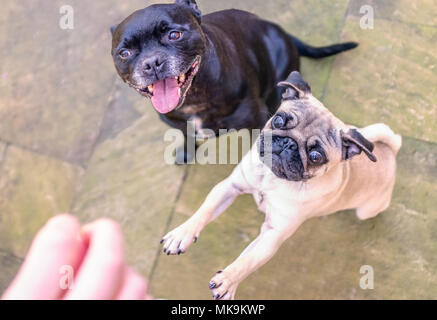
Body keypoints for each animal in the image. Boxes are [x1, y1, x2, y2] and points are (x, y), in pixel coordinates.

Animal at [110, 0, 358, 160]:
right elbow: (186, 135)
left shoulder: (258, 120)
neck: (194, 96)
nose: (152, 63)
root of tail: (286, 34)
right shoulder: (179, 124)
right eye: (124, 52)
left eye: (174, 34)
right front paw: (187, 152)